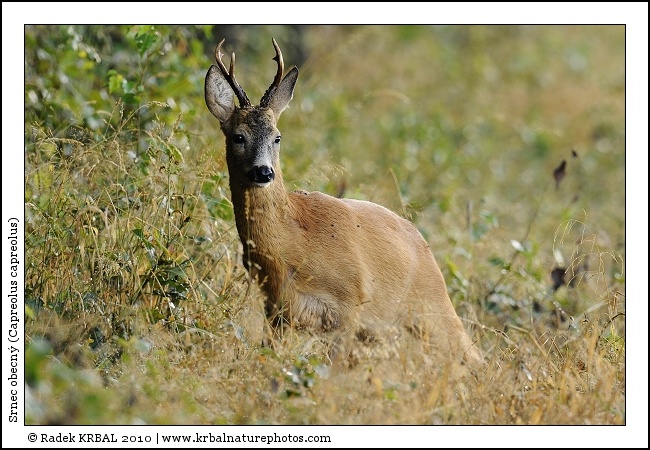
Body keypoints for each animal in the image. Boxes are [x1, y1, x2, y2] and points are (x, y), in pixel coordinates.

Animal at [205, 38, 483, 366]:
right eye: (238, 136)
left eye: (277, 137)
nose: (263, 172)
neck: (292, 246)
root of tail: (423, 243)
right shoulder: (276, 309)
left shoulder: (352, 300)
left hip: (431, 304)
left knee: (472, 353)